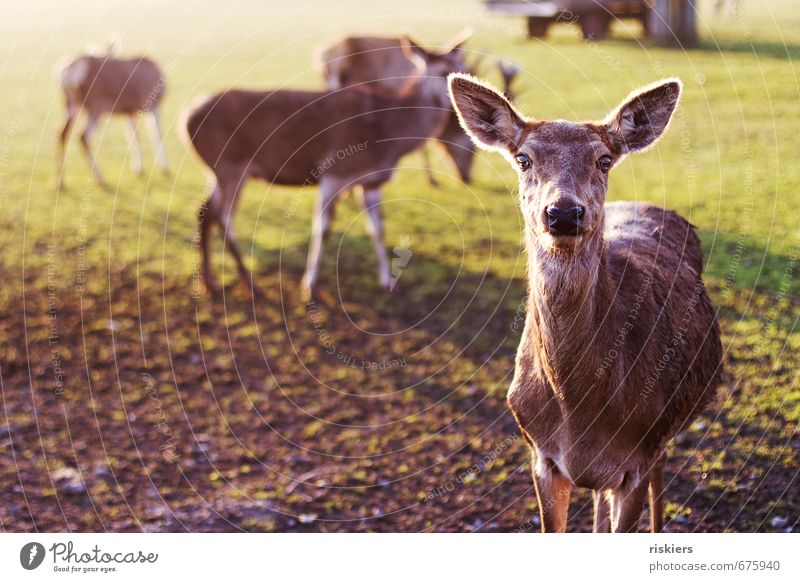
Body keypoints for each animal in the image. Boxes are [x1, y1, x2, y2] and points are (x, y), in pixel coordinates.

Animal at [57, 45, 169, 194]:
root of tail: (70, 73)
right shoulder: (152, 104)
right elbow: (156, 134)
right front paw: (165, 169)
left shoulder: (129, 111)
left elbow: (134, 137)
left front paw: (139, 170)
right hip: (96, 105)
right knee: (83, 135)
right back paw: (100, 180)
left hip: (71, 104)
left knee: (62, 133)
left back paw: (60, 183)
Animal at [183, 38, 462, 302]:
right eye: (442, 72)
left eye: (463, 68)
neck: (388, 141)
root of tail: (184, 120)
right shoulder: (333, 172)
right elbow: (323, 229)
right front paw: (310, 288)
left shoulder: (372, 182)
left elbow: (378, 229)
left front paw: (389, 284)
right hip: (230, 166)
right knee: (223, 217)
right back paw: (251, 285)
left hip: (217, 171)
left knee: (204, 211)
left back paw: (209, 283)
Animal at [450, 75, 724, 536]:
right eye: (523, 159)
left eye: (604, 160)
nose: (563, 213)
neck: (580, 409)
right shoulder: (541, 455)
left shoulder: (638, 456)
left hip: (661, 438)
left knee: (660, 470)